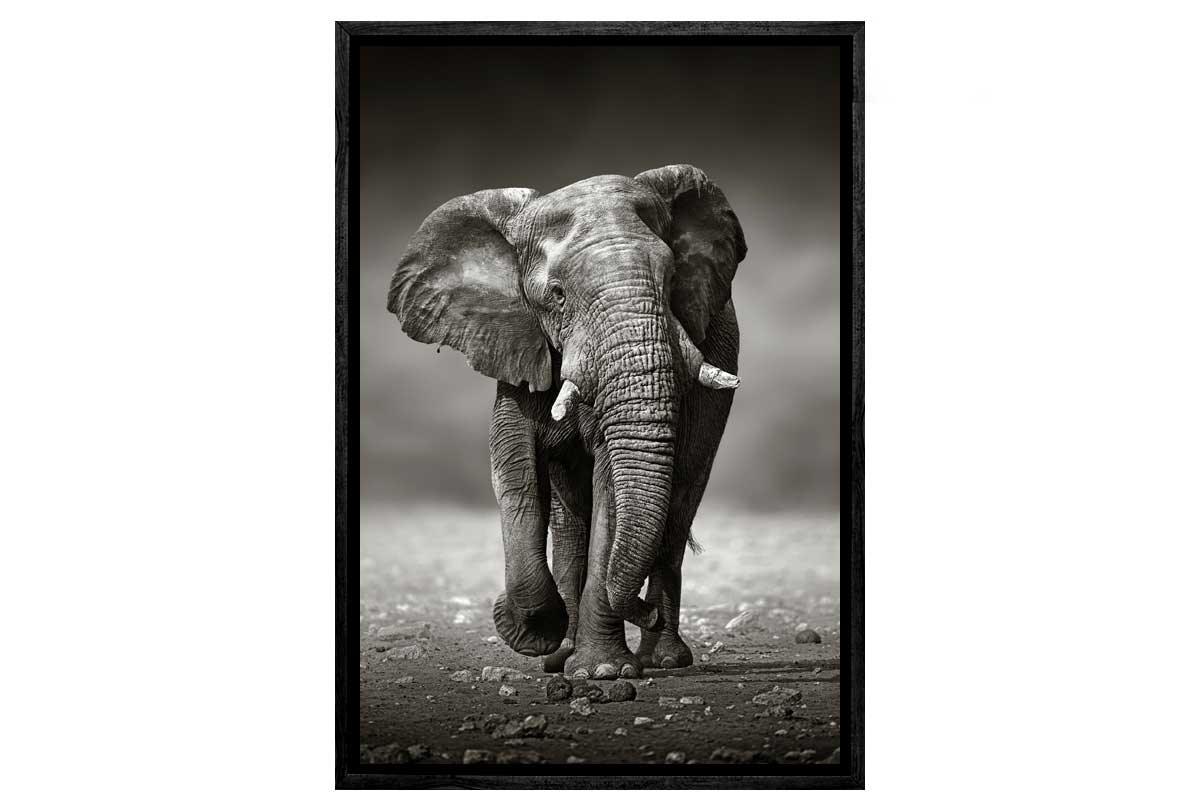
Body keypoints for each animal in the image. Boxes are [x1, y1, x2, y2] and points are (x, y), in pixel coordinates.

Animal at [386, 165, 746, 679]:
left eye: (673, 277)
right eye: (556, 295)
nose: (643, 612)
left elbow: (611, 486)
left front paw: (603, 672)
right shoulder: (517, 343)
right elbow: (514, 470)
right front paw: (534, 632)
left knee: (678, 505)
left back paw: (662, 659)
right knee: (570, 519)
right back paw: (563, 655)